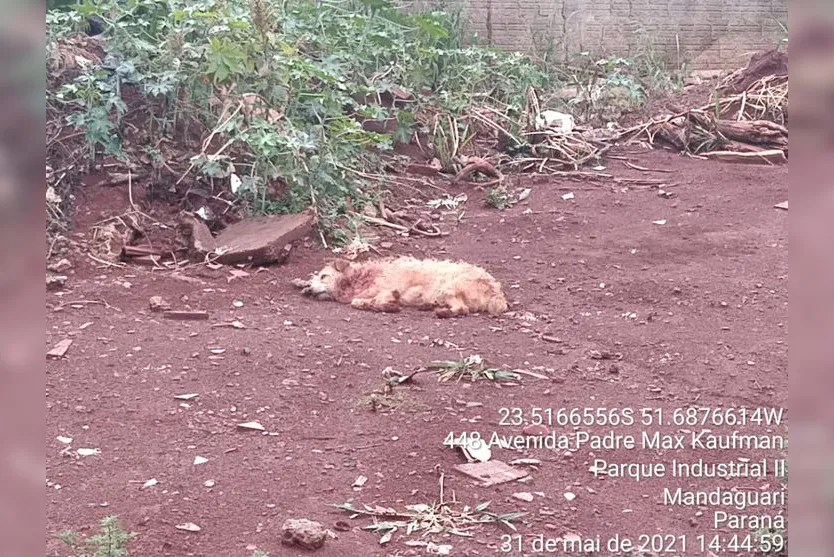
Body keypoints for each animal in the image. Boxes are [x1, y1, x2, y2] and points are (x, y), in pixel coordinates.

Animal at [294, 256, 508, 318]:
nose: (311, 290)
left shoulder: (385, 289)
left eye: (324, 276)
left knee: (462, 309)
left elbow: (359, 301)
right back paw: (430, 306)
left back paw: (441, 312)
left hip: (448, 287)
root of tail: (496, 291)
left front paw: (387, 305)